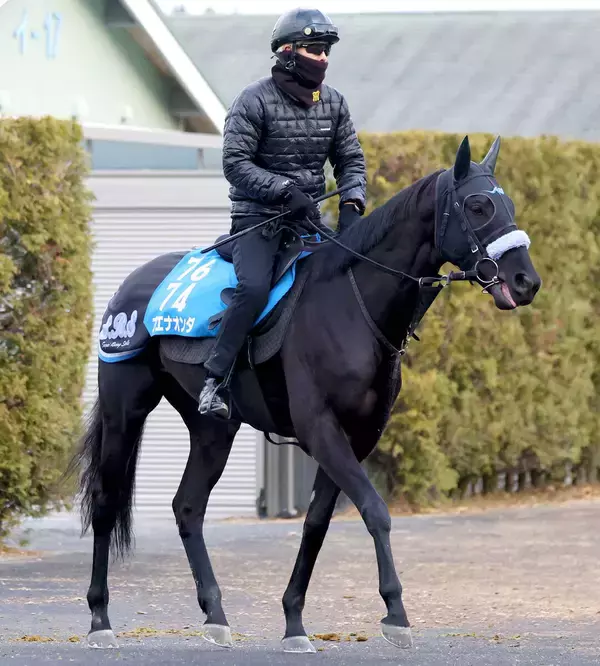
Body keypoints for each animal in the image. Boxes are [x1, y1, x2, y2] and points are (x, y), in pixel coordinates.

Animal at [69, 135, 541, 653]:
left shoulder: (357, 437)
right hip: (125, 411)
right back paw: (100, 619)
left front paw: (294, 621)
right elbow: (375, 510)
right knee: (106, 500)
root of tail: (130, 285)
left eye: (509, 205)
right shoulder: (321, 431)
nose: (526, 281)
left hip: (213, 429)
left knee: (187, 506)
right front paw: (395, 613)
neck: (351, 304)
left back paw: (215, 614)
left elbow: (317, 522)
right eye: (478, 205)